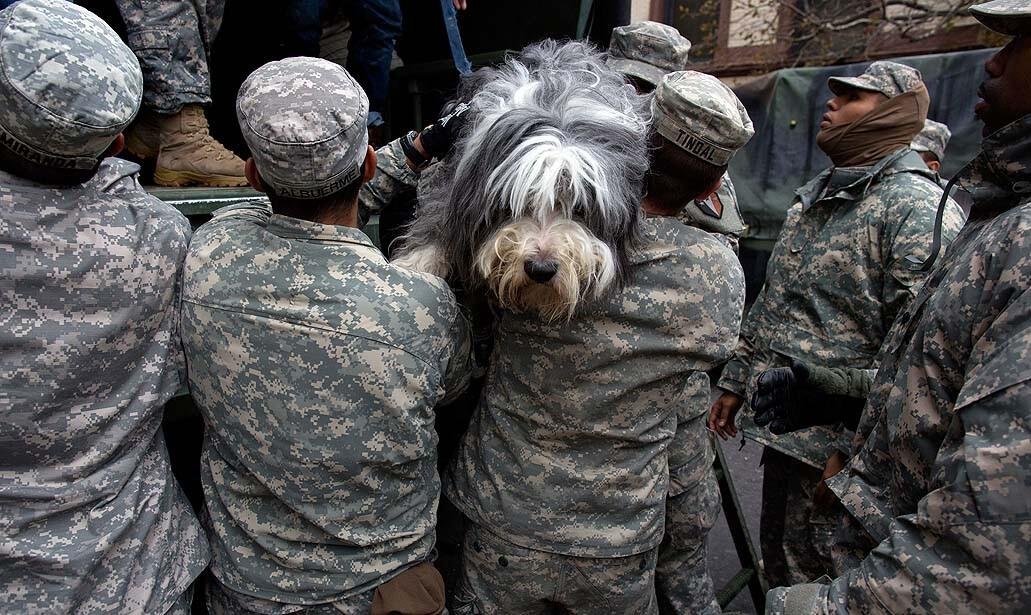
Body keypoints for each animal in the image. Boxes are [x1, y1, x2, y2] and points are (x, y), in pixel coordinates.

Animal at [389, 40, 647, 321]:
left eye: (579, 209)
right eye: (514, 205)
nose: (541, 269)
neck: (557, 110)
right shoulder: (458, 173)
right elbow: (437, 215)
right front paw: (414, 265)